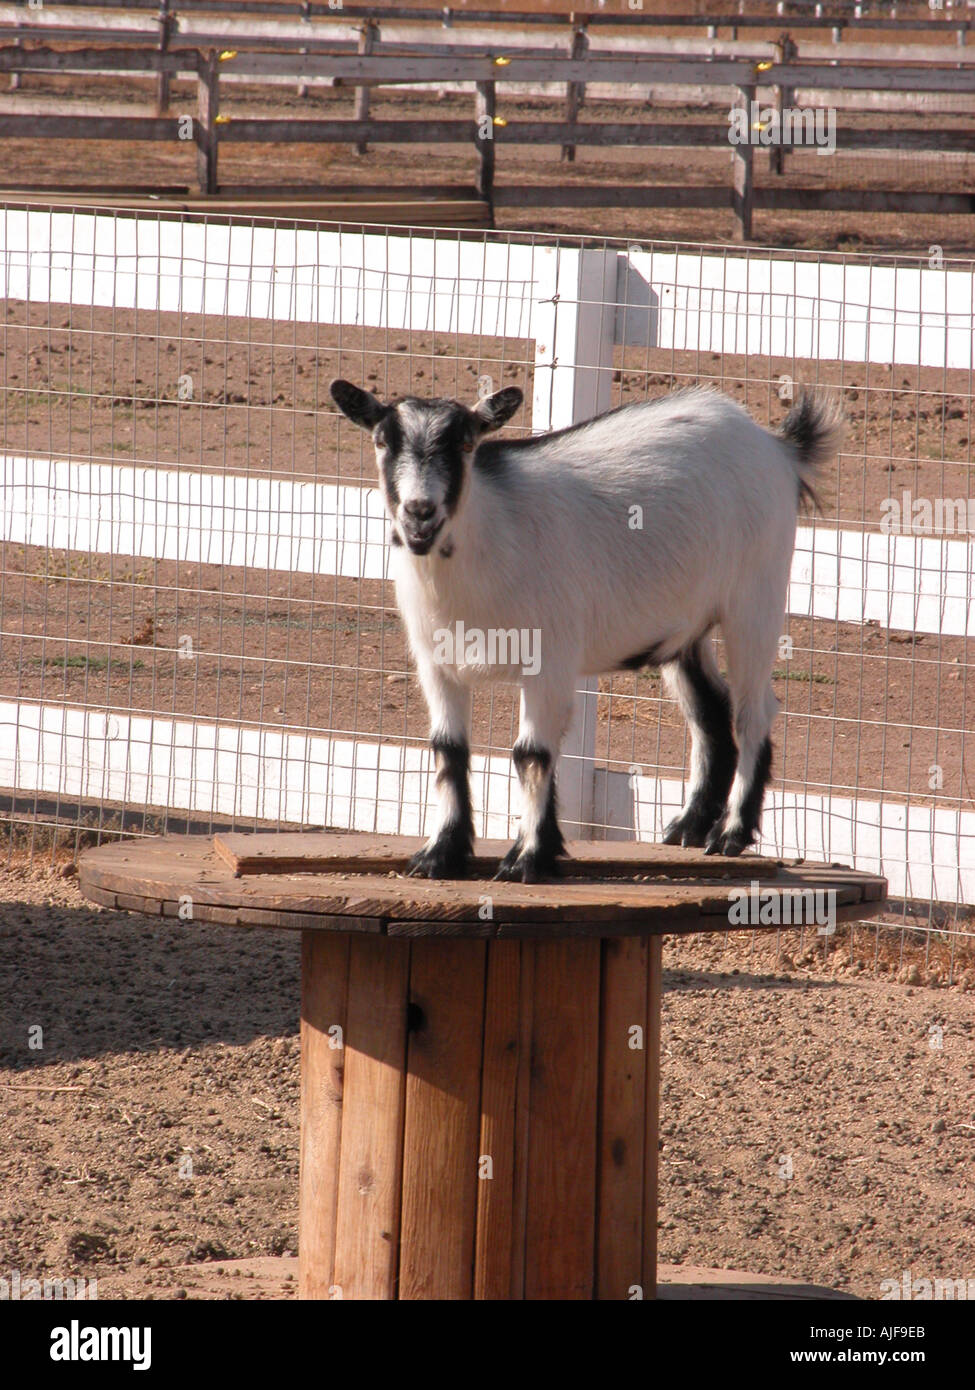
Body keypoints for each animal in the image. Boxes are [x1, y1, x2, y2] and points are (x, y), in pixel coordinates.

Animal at [331, 378, 844, 882]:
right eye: (382, 441)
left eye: (466, 443)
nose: (420, 511)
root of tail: (778, 447)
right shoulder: (436, 663)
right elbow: (448, 749)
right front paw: (440, 854)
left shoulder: (549, 658)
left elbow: (531, 754)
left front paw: (528, 858)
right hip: (686, 627)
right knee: (709, 711)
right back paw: (688, 826)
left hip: (755, 599)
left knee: (752, 712)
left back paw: (731, 833)